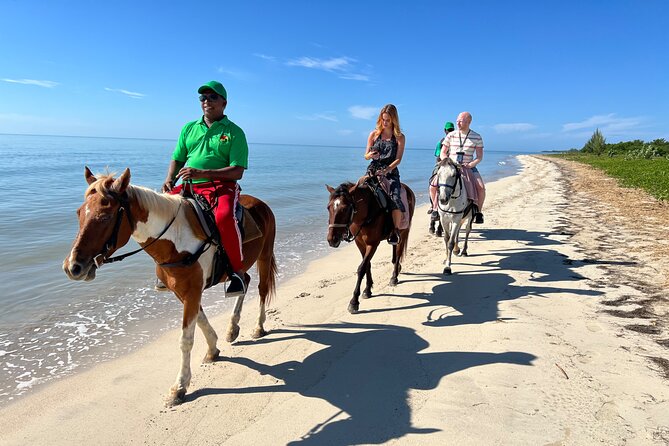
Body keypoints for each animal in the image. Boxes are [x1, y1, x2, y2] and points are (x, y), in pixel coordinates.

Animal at [63, 167, 276, 404]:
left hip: (265, 255)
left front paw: (180, 386)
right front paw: (213, 349)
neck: (176, 240)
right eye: (79, 213)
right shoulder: (183, 292)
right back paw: (232, 328)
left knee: (262, 289)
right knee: (244, 281)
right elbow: (201, 320)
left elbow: (186, 339)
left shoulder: (192, 292)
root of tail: (260, 203)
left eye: (105, 216)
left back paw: (258, 327)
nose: (73, 267)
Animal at [324, 179, 412, 314]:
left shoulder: (372, 244)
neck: (366, 213)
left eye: (345, 209)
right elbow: (367, 265)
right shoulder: (360, 243)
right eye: (329, 207)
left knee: (398, 253)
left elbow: (361, 268)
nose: (331, 239)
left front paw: (354, 301)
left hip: (404, 231)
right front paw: (367, 290)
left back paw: (394, 277)